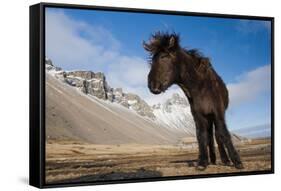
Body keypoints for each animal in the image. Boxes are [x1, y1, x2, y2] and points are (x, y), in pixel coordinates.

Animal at [143, 31, 242, 170]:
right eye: (152, 60)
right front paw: (202, 162)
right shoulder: (198, 115)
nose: (152, 85)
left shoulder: (218, 112)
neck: (201, 87)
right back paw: (212, 159)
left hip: (213, 116)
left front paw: (237, 161)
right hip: (208, 117)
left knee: (217, 135)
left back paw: (225, 160)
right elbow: (201, 136)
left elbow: (223, 133)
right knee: (210, 136)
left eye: (164, 56)